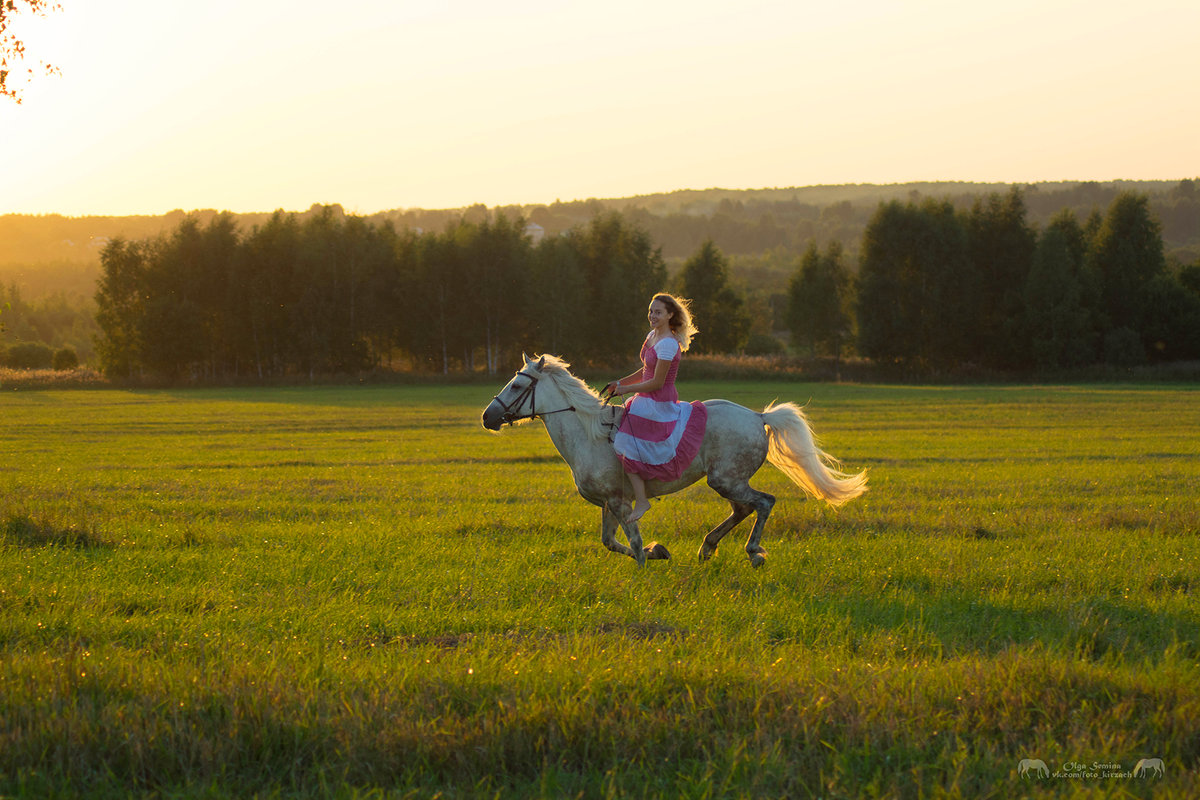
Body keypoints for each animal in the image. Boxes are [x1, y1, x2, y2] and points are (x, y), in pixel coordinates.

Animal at [477, 352, 864, 566]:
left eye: (516, 386)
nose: (487, 417)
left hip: (726, 479)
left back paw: (753, 552)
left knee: (764, 502)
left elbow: (633, 543)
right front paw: (659, 551)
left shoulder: (621, 501)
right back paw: (707, 548)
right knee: (744, 508)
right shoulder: (609, 502)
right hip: (728, 481)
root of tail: (758, 416)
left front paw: (646, 568)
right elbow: (609, 542)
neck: (587, 435)